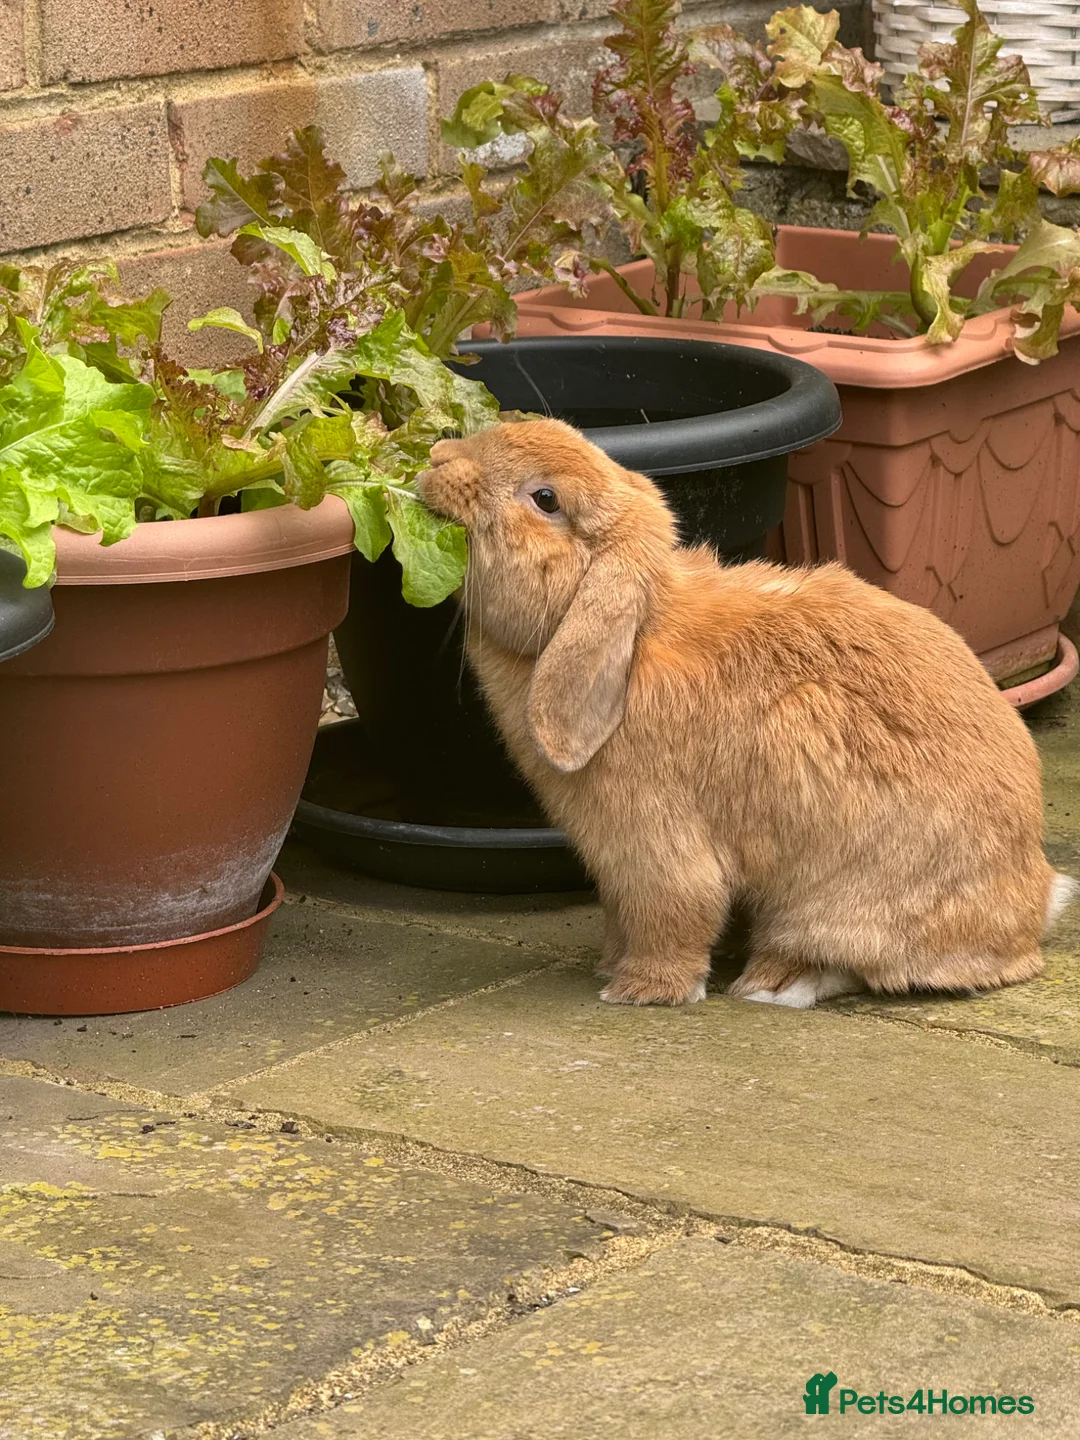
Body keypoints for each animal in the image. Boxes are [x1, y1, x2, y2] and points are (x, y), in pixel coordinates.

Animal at [417, 418, 1076, 1008]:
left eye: (546, 499)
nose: (436, 458)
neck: (635, 634)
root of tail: (1035, 898)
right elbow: (622, 915)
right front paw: (610, 964)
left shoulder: (653, 841)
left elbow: (676, 910)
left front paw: (638, 990)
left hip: (835, 902)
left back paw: (774, 983)